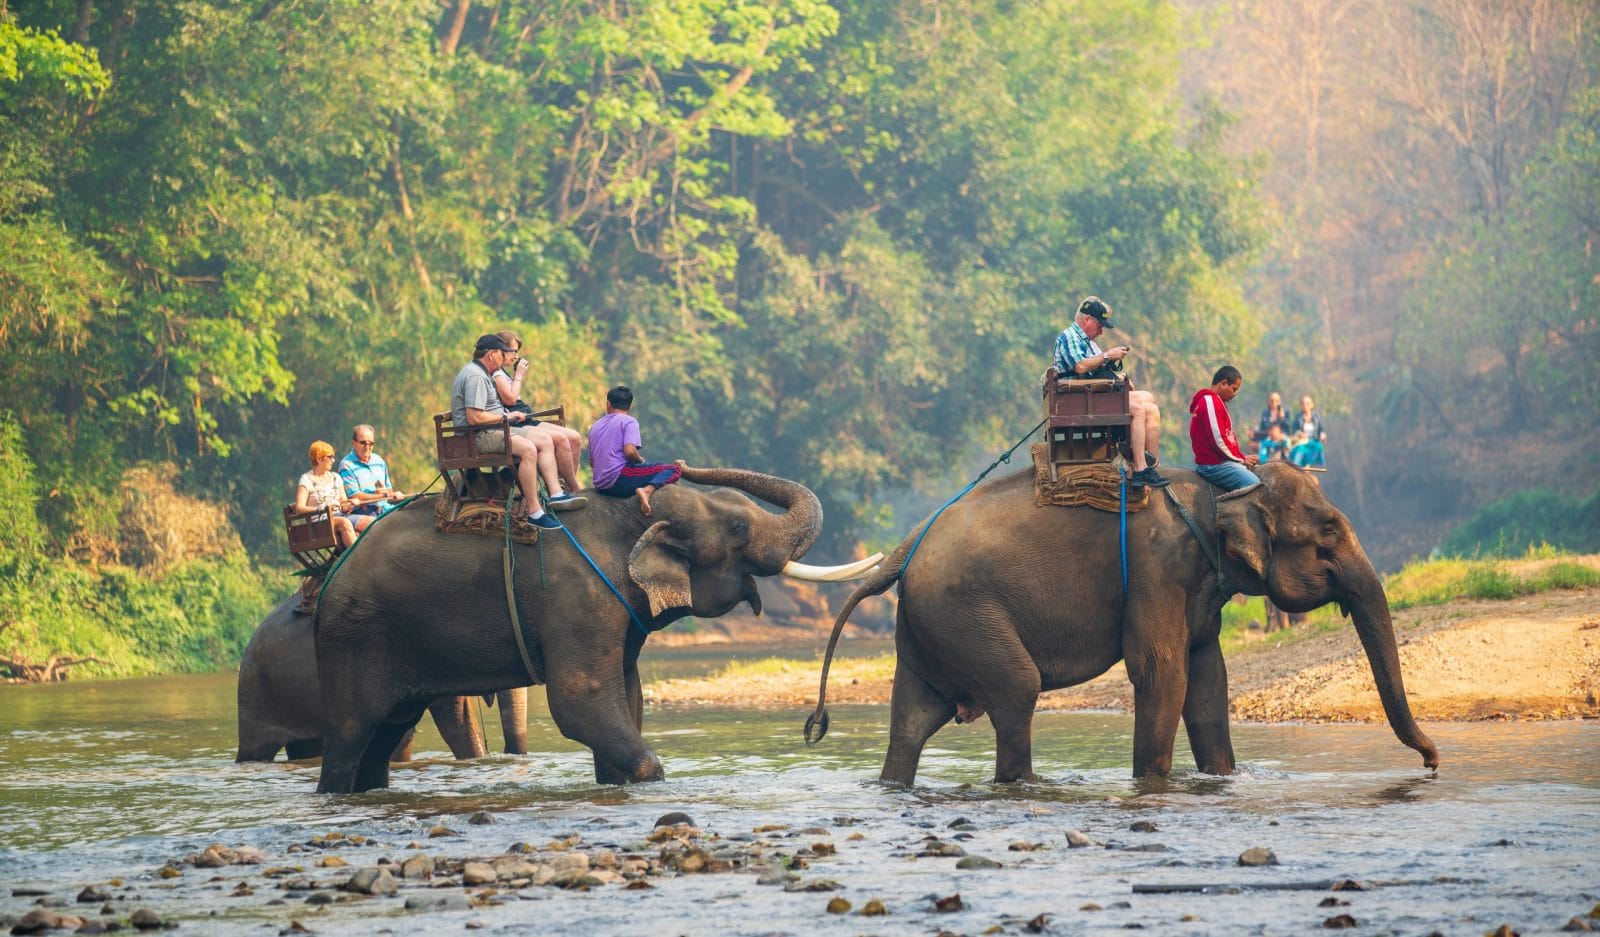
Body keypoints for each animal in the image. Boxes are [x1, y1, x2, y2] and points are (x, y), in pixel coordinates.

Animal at [312, 463, 880, 793]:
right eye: (739, 527)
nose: (678, 465)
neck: (626, 514)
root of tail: (329, 579)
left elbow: (628, 695)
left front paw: (615, 785)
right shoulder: (579, 595)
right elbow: (580, 698)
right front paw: (649, 778)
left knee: (384, 736)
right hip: (354, 638)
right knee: (351, 733)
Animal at [807, 461, 1439, 784]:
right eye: (1328, 535)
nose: (1433, 762)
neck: (1223, 487)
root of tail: (904, 547)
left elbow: (1208, 682)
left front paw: (1221, 780)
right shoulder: (1159, 569)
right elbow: (1162, 673)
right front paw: (1151, 785)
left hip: (930, 625)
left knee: (913, 720)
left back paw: (894, 785)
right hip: (963, 613)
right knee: (1016, 692)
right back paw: (1025, 786)